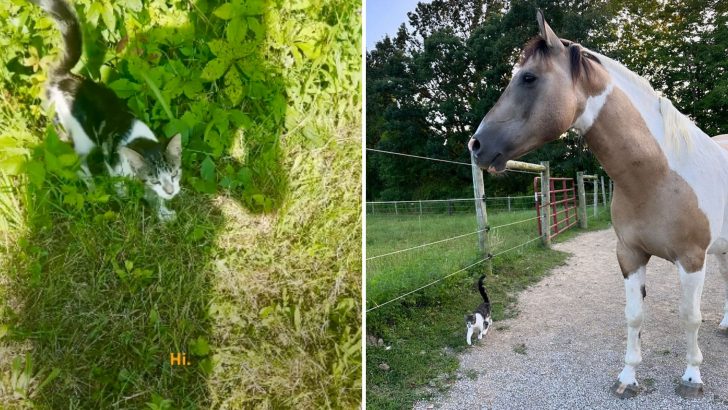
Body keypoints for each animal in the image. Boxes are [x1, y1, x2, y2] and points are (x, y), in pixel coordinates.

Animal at [32, 0, 182, 221]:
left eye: (174, 174)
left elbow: (154, 197)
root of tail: (60, 77)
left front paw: (163, 213)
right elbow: (121, 186)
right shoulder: (114, 166)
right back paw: (93, 189)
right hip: (72, 136)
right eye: (155, 180)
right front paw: (125, 199)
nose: (171, 191)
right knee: (79, 165)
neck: (136, 137)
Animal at [470, 11, 728, 398]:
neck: (660, 176)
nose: (476, 144)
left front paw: (692, 377)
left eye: (528, 78)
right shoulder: (630, 255)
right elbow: (634, 316)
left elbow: (690, 317)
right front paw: (627, 377)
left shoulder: (692, 259)